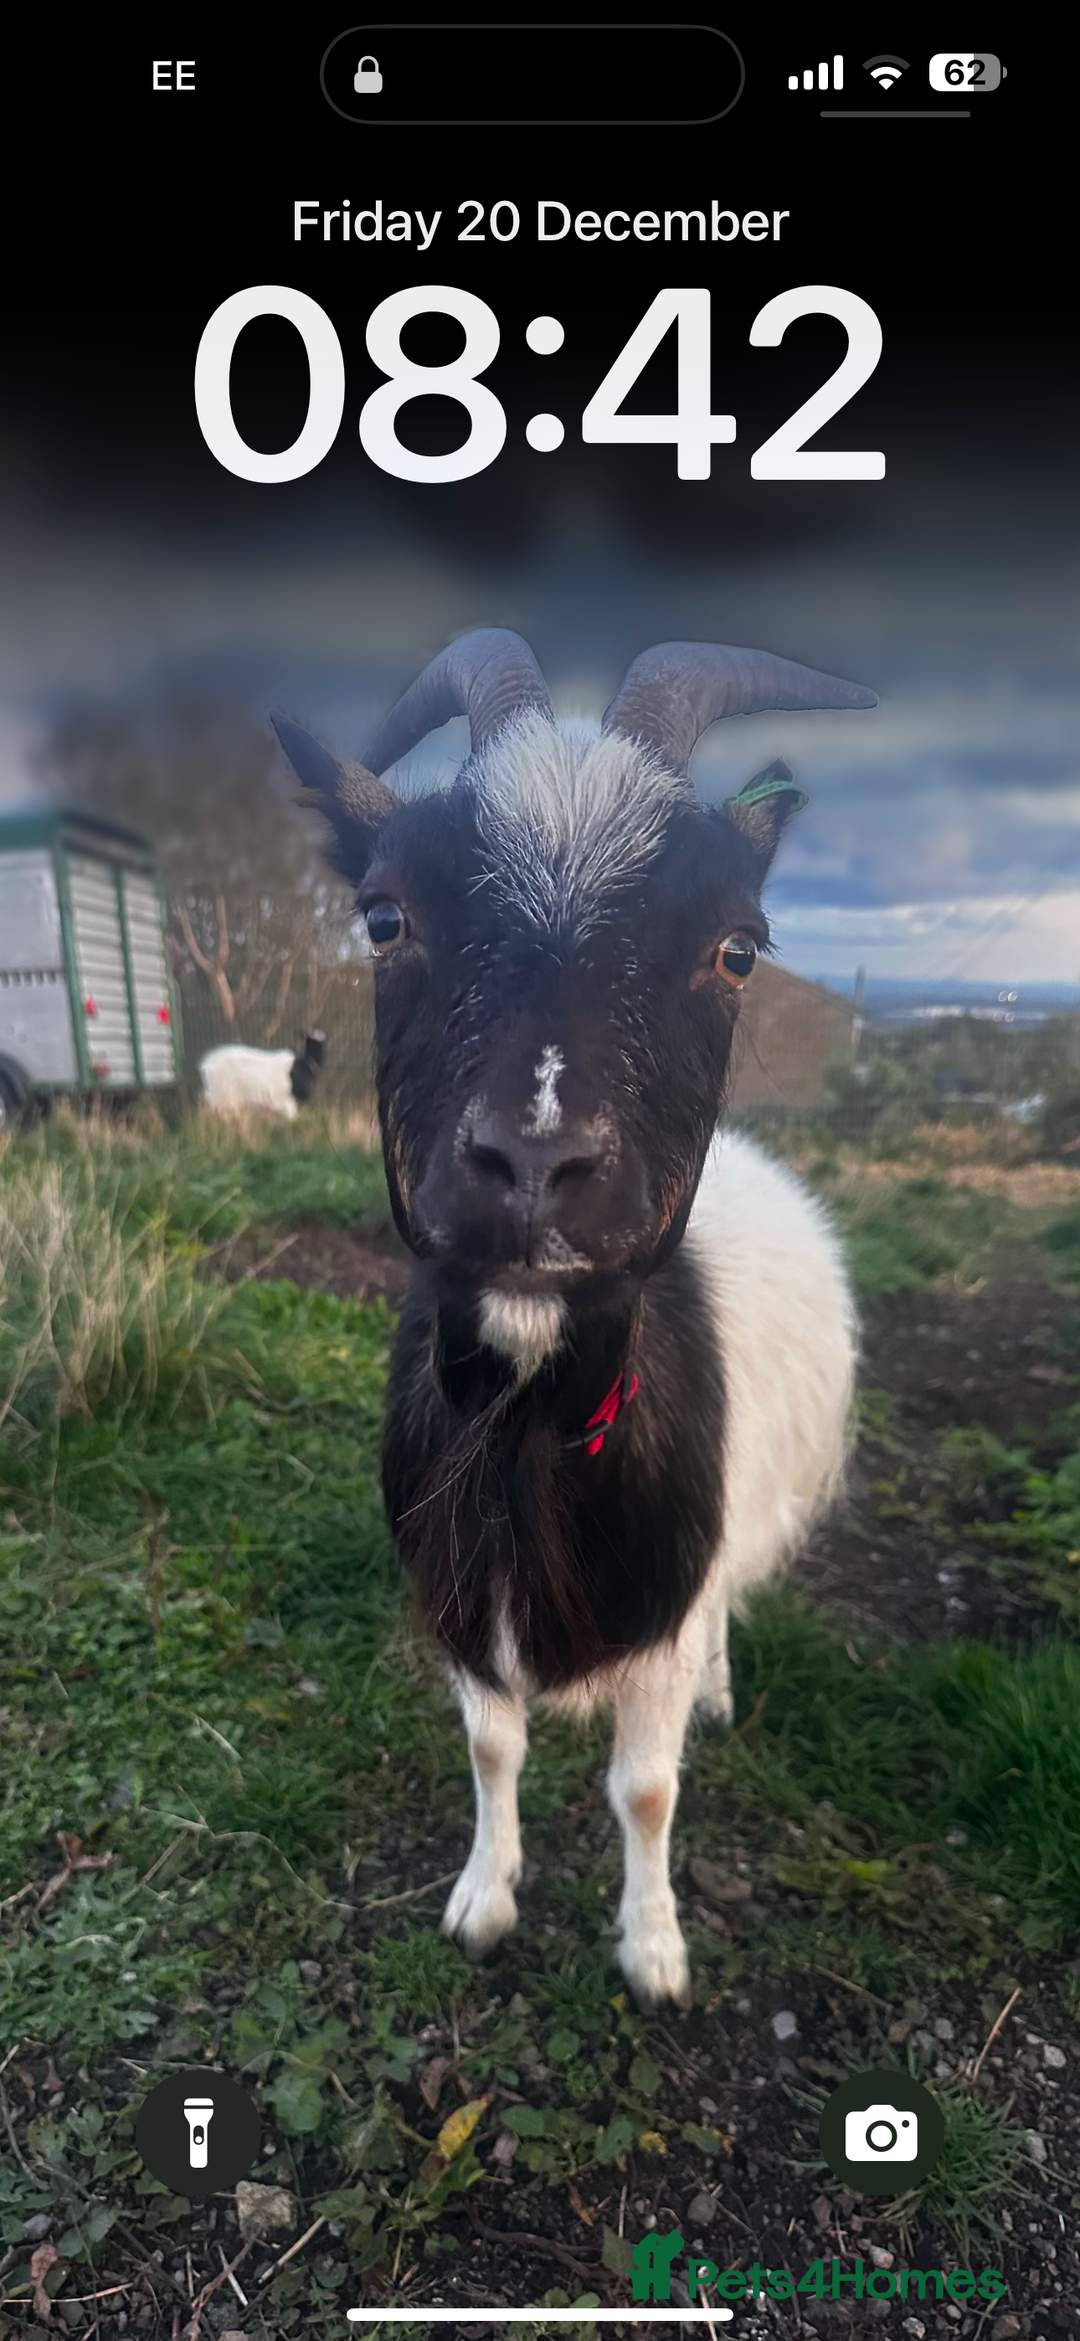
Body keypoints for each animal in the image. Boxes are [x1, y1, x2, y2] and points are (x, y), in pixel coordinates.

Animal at [272, 633, 875, 2007]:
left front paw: (653, 1950)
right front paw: (483, 1899)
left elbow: (644, 1786)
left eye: (738, 948)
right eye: (384, 916)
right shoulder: (459, 1599)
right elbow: (492, 1749)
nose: (536, 1160)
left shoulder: (667, 1596)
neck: (529, 1422)